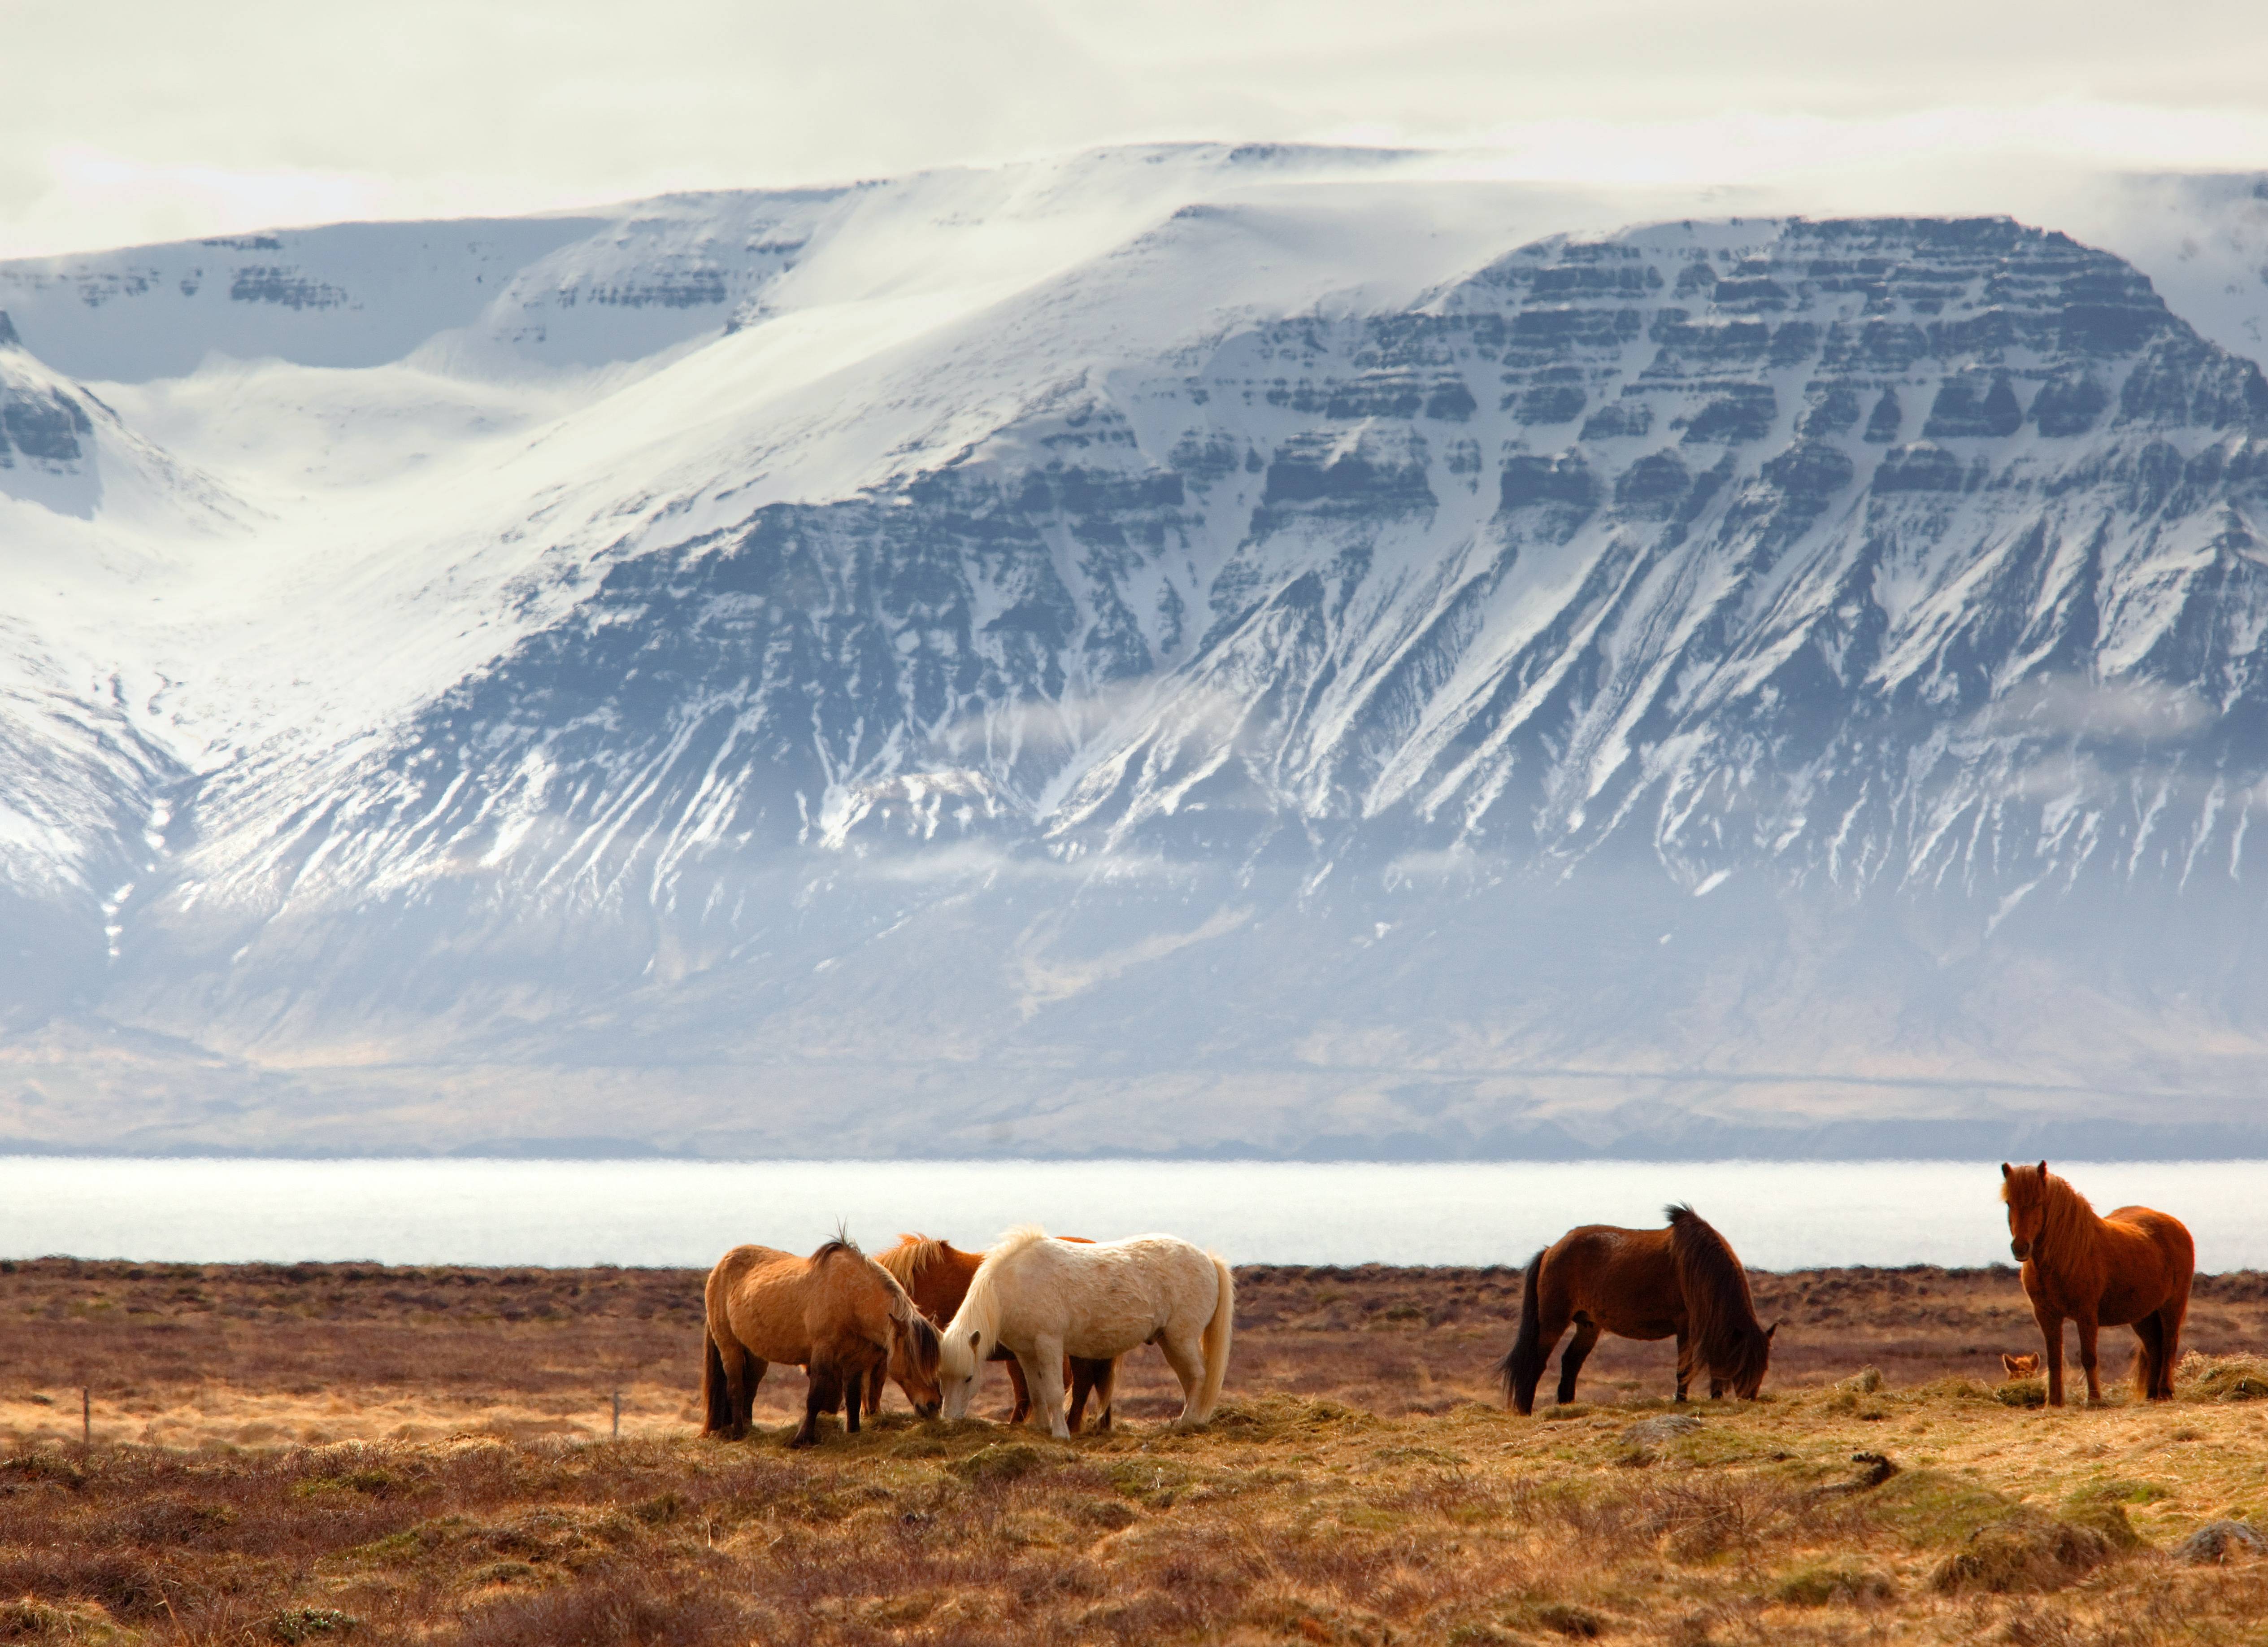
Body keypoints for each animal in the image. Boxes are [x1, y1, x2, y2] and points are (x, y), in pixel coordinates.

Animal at [701, 1235, 942, 1447]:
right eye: (914, 1361)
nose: (934, 1406)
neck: (851, 1296)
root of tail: (719, 1269)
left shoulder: (854, 1361)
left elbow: (853, 1399)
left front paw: (853, 1432)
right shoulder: (822, 1353)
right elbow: (815, 1397)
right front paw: (802, 1439)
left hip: (755, 1355)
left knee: (750, 1388)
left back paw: (749, 1429)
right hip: (729, 1347)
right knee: (735, 1387)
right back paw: (738, 1433)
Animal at [938, 1227, 1234, 1438]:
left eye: (969, 1378)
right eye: (941, 1378)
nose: (950, 1421)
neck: (1014, 1283)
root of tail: (1209, 1260)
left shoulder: (1049, 1345)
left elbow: (1054, 1392)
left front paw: (1060, 1435)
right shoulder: (1026, 1353)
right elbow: (1036, 1392)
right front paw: (1041, 1429)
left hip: (1182, 1339)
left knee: (1199, 1376)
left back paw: (1187, 1423)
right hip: (1170, 1343)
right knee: (1189, 1379)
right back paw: (1189, 1420)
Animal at [1497, 1204, 1777, 1414]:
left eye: (1764, 1368)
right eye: (1745, 1364)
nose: (1749, 1399)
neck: (1701, 1266)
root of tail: (1551, 1250)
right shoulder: (1686, 1326)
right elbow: (1684, 1369)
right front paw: (1681, 1401)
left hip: (1588, 1325)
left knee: (1571, 1362)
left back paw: (1567, 1405)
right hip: (1553, 1321)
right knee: (1536, 1361)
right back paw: (1525, 1410)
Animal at [1999, 1161, 2193, 1406]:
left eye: (2038, 1202)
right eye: (2009, 1203)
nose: (2021, 1248)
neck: (2066, 1253)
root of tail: (2178, 1226)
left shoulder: (2087, 1315)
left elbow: (2089, 1357)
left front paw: (2094, 1400)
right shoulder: (2046, 1315)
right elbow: (2054, 1359)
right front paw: (2055, 1402)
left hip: (2172, 1306)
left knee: (2169, 1344)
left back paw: (2166, 1392)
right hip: (2144, 1315)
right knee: (2154, 1348)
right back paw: (2152, 1395)